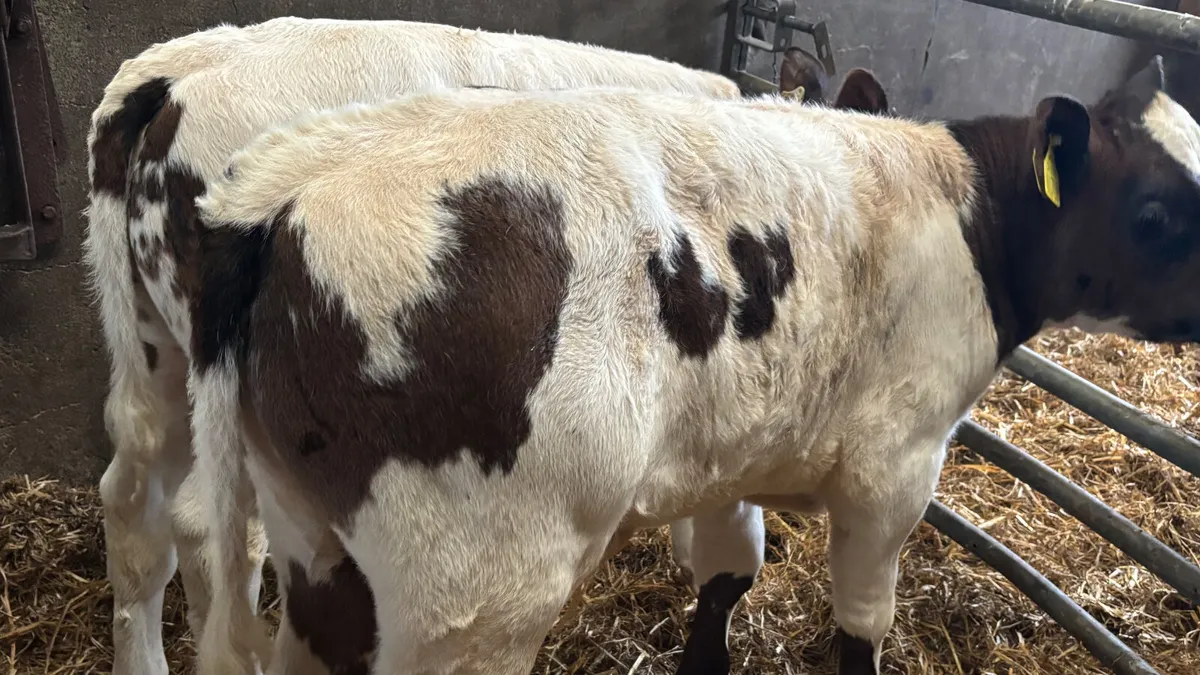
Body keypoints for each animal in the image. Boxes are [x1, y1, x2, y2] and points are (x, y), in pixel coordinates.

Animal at [182, 54, 1200, 675]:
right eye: (1155, 211)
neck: (963, 210)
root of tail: (291, 179)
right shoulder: (895, 467)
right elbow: (861, 621)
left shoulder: (734, 448)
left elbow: (725, 574)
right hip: (471, 594)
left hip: (313, 537)